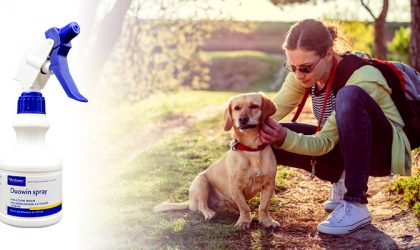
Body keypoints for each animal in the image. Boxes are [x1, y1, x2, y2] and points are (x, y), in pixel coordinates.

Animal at [153, 92, 278, 229]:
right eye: (236, 108)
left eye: (254, 106)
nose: (242, 119)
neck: (251, 149)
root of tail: (190, 201)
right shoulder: (236, 187)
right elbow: (245, 208)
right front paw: (244, 222)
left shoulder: (269, 185)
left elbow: (263, 206)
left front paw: (267, 221)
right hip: (201, 181)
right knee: (202, 205)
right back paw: (209, 213)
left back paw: (232, 210)